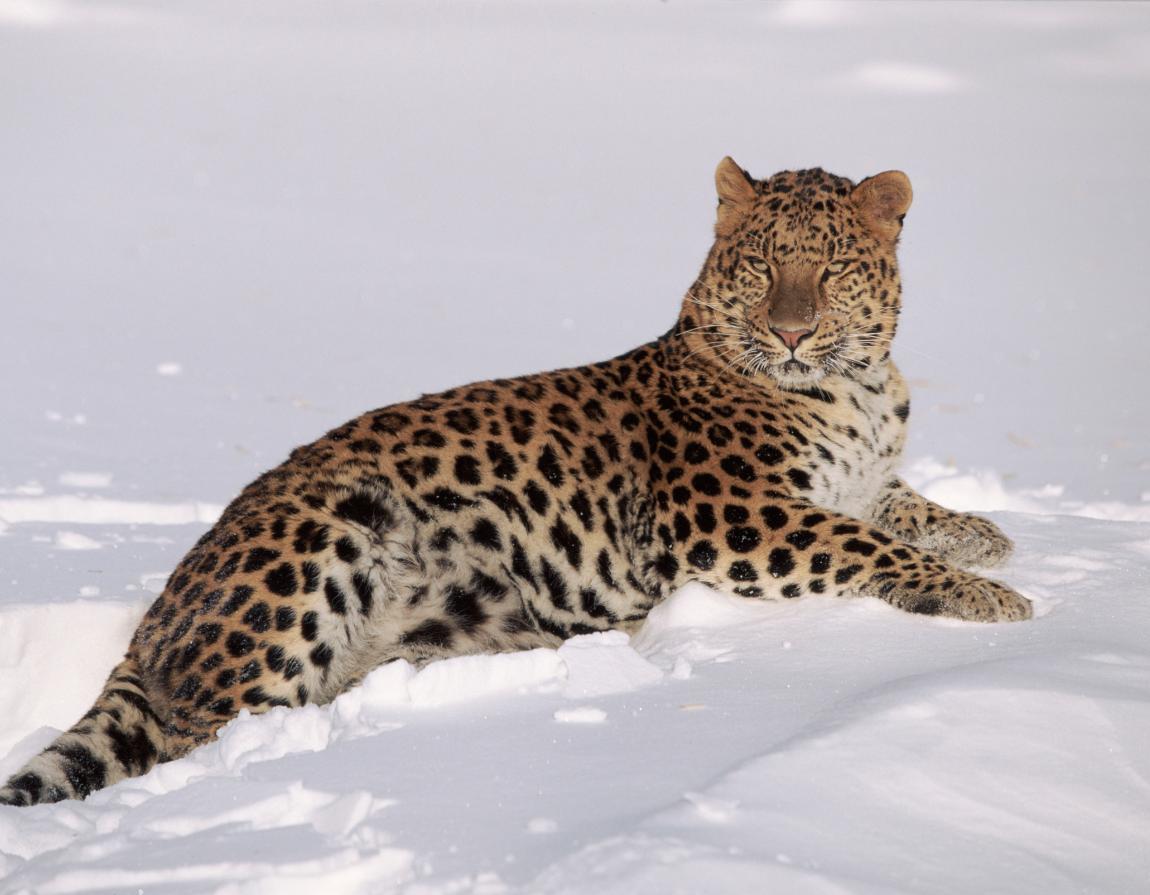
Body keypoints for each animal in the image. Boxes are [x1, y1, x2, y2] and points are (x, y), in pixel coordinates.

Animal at [0, 159, 1025, 809]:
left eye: (834, 266)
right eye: (763, 264)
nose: (792, 331)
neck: (858, 387)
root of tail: (156, 615)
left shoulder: (855, 479)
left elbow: (899, 504)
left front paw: (988, 537)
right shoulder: (730, 514)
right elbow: (861, 542)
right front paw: (993, 599)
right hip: (328, 533)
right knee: (199, 735)